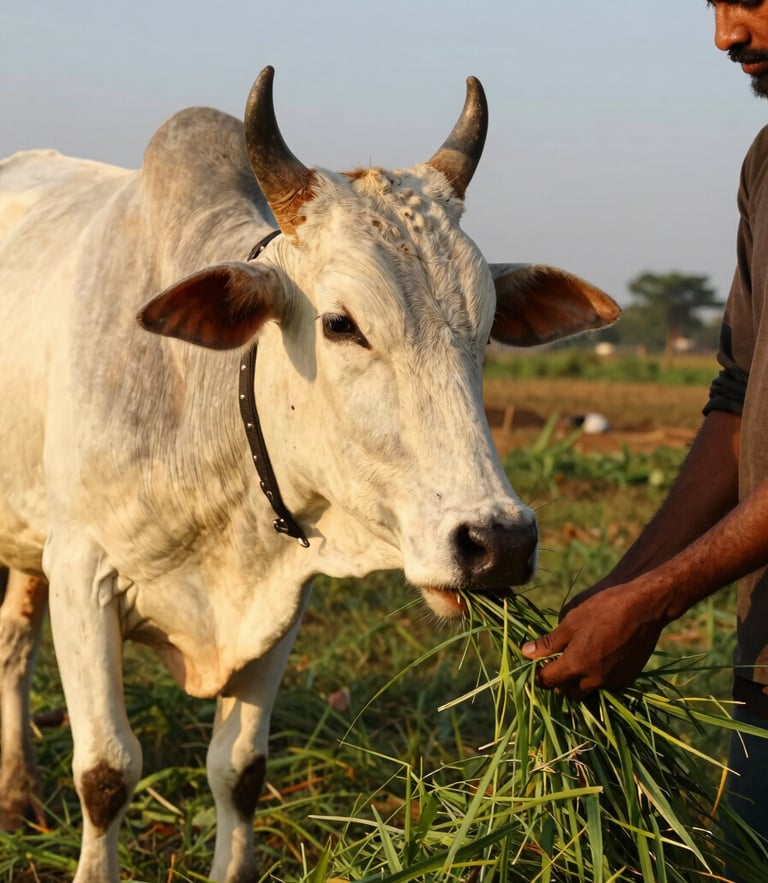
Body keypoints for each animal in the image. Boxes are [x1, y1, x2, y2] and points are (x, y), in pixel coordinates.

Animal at [0, 66, 619, 882]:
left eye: (487, 330)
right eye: (340, 324)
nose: (500, 542)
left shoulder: (280, 599)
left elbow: (239, 770)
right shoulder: (82, 572)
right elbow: (106, 772)